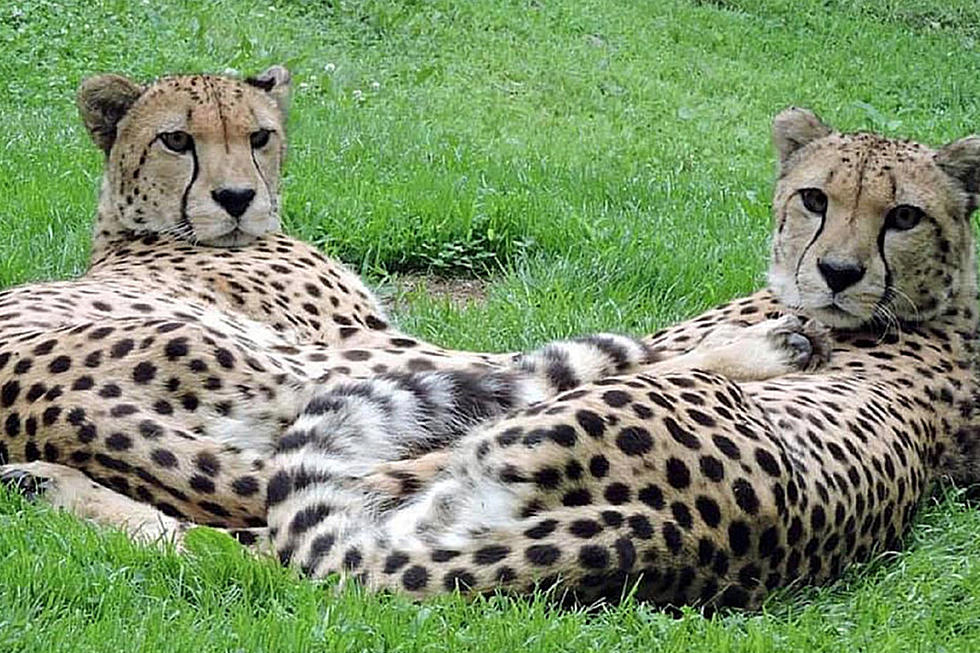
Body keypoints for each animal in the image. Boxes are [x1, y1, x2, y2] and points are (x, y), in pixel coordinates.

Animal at [3, 104, 976, 608]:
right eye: (815, 198)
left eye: (903, 214)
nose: (839, 273)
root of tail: (658, 535)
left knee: (253, 542)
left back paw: (47, 485)